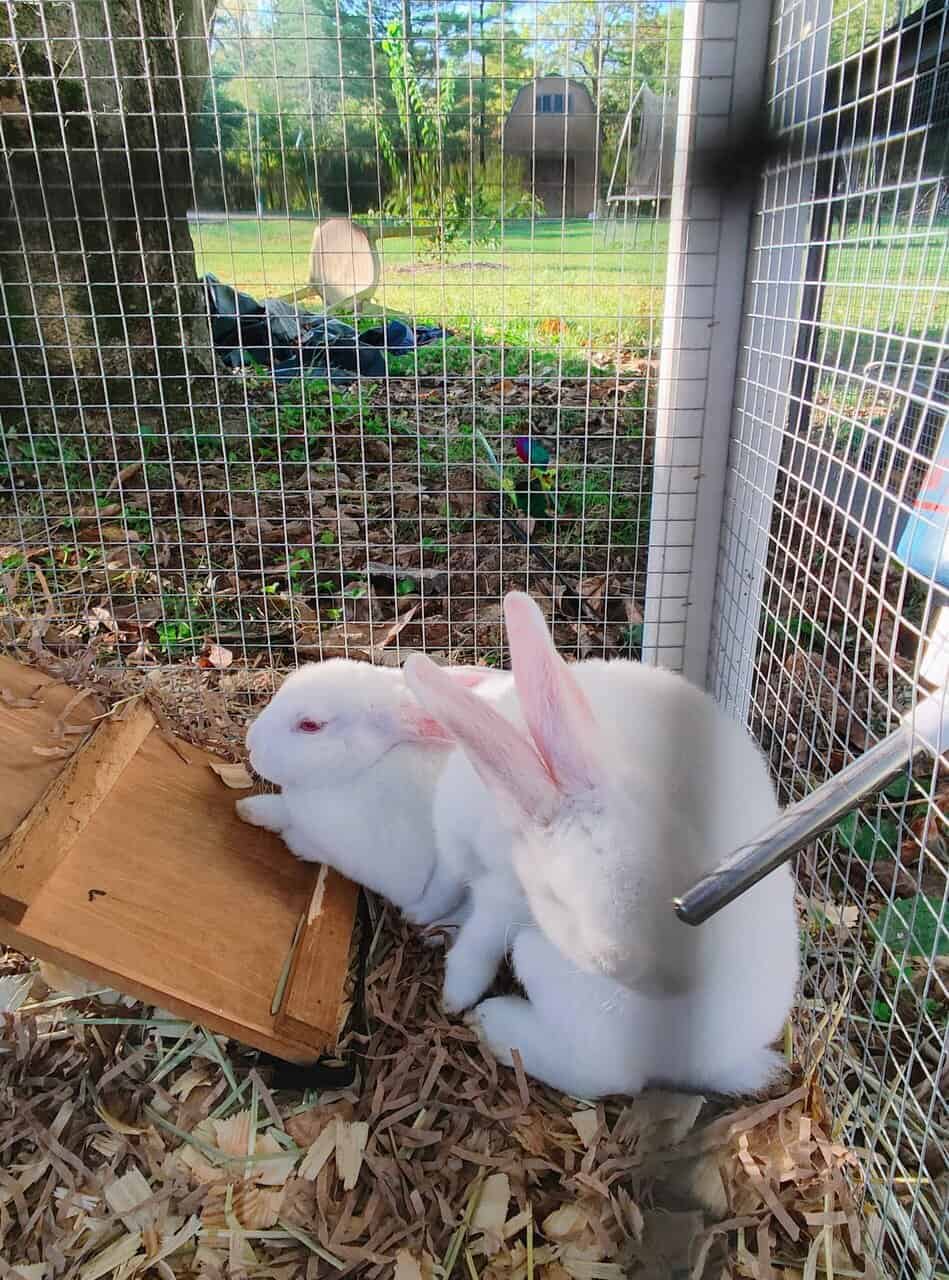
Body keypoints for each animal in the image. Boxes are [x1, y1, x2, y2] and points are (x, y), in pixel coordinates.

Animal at [403, 591, 799, 1094]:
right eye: (560, 900)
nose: (657, 973)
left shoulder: (499, 891)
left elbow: (478, 936)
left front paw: (455, 994)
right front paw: (427, 920)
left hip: (548, 970)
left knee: (604, 1076)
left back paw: (494, 1024)